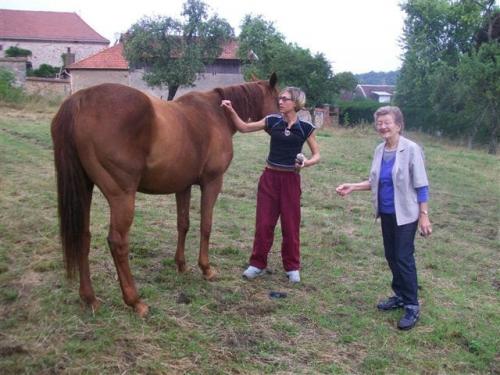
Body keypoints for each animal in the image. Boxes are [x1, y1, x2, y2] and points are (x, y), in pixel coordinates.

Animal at [51, 74, 280, 318]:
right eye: (278, 100)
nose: (282, 124)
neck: (216, 114)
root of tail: (80, 100)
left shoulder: (183, 186)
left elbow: (183, 224)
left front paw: (181, 265)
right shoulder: (212, 183)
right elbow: (206, 225)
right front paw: (206, 268)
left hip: (84, 188)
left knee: (83, 236)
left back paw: (90, 299)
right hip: (122, 195)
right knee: (118, 242)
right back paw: (135, 301)